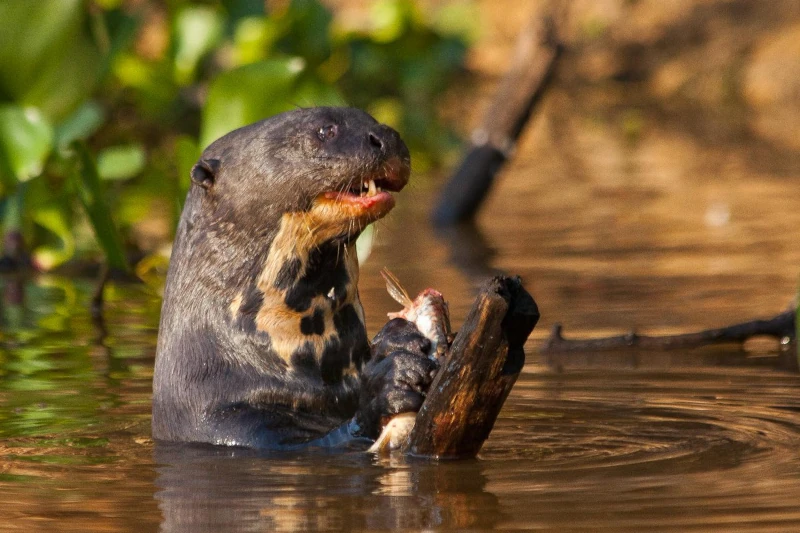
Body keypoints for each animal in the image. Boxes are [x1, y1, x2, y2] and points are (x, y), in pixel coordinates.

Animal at [152, 107, 436, 448]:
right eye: (325, 130)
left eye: (369, 117)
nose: (387, 136)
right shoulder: (232, 427)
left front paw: (398, 340)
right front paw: (392, 380)